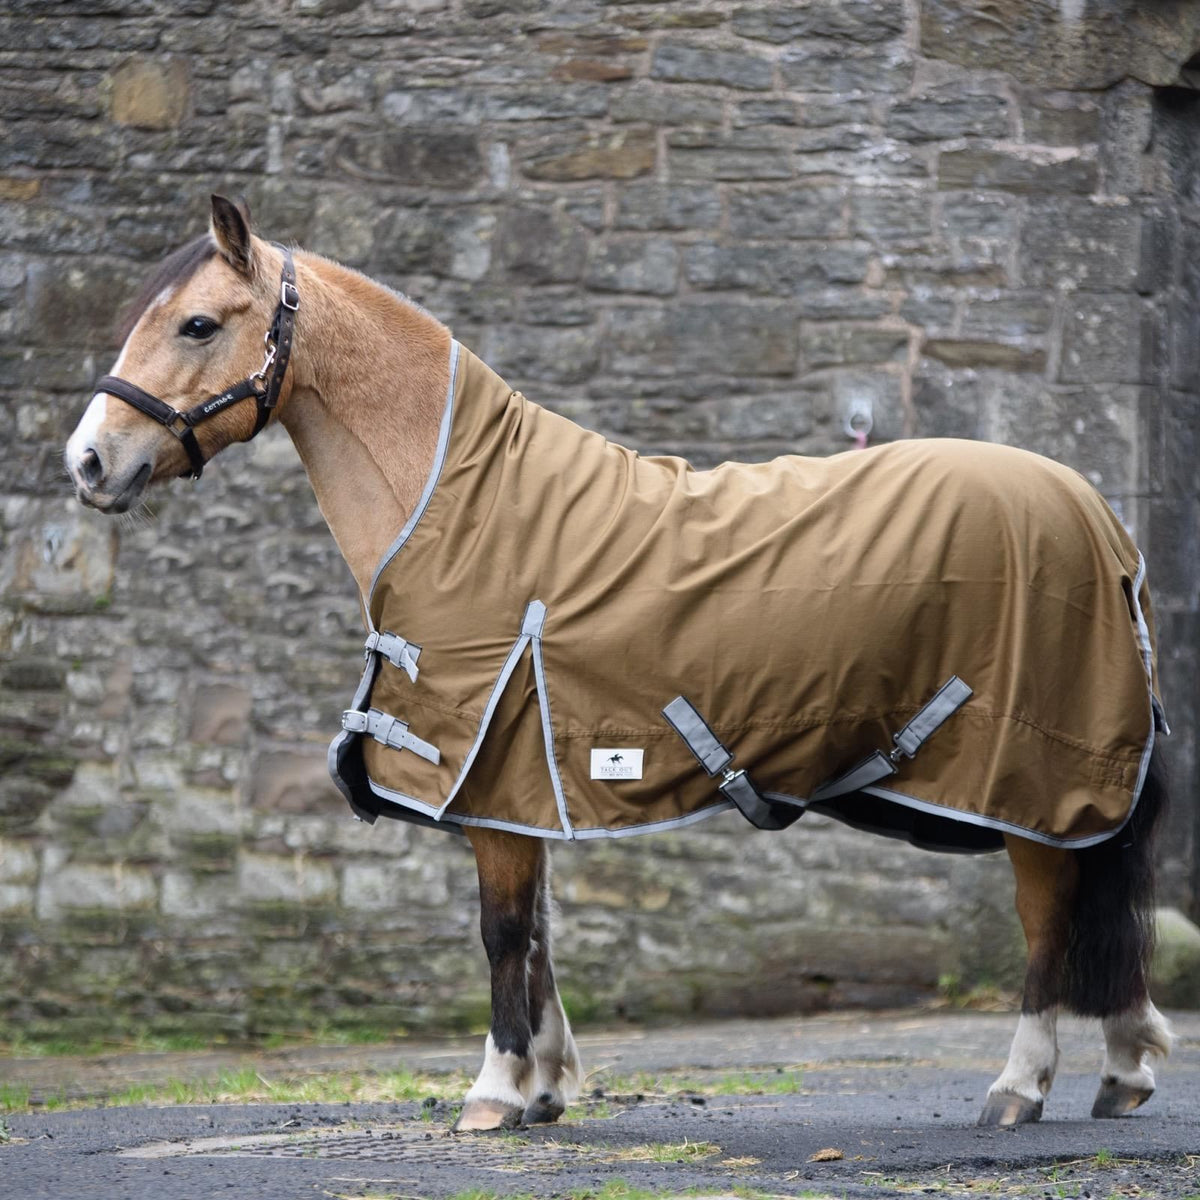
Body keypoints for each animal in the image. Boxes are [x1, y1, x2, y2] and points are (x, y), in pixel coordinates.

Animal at [63, 195, 1172, 1132]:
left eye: (197, 325)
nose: (87, 462)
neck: (463, 504)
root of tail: (1100, 519)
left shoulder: (493, 775)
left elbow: (505, 933)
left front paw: (495, 1093)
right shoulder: (524, 779)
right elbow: (543, 936)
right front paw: (549, 1087)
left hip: (1026, 778)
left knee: (1049, 916)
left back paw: (1020, 1085)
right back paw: (1124, 1068)